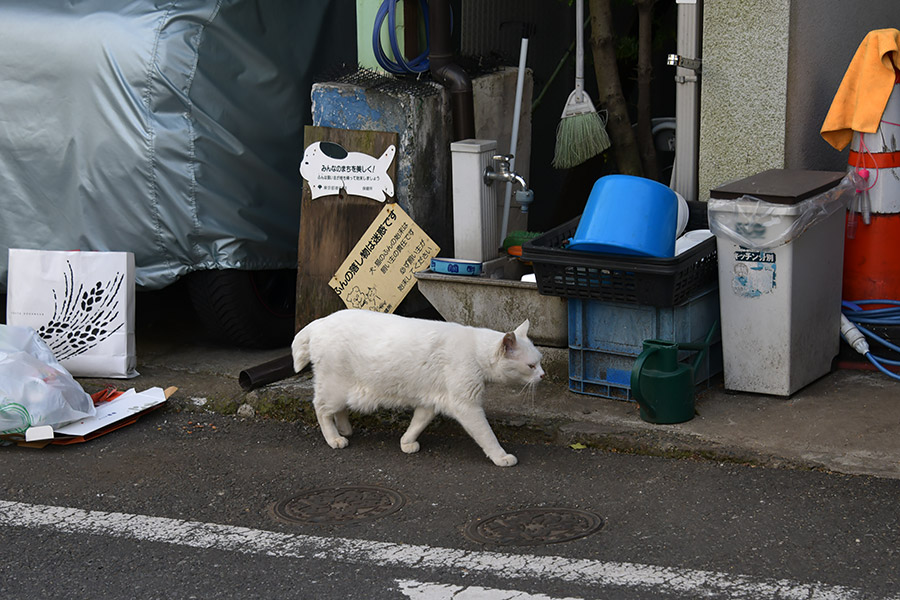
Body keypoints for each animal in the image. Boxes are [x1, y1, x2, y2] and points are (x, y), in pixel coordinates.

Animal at [290, 312, 540, 466]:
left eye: (540, 362)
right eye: (531, 366)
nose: (542, 375)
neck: (477, 351)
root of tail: (320, 321)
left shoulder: (431, 401)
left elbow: (418, 422)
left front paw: (406, 442)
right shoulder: (467, 406)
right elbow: (487, 435)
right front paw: (501, 457)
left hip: (344, 389)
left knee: (339, 409)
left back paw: (344, 429)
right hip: (333, 386)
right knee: (321, 409)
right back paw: (334, 438)